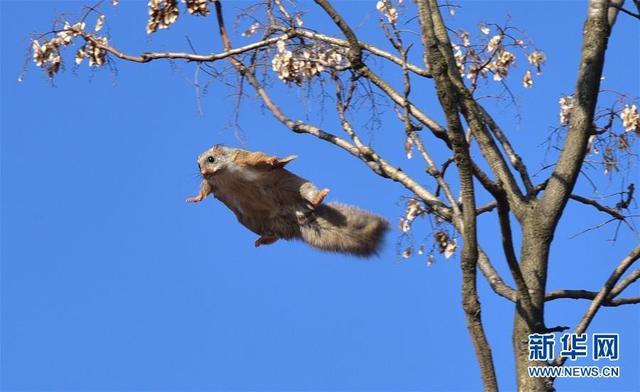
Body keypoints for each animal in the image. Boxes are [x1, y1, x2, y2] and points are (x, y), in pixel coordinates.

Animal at [186, 144, 390, 258]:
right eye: (198, 165)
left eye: (211, 159)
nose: (203, 172)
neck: (224, 174)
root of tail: (296, 218)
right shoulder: (211, 184)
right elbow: (204, 190)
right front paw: (194, 198)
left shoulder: (244, 158)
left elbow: (260, 158)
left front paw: (276, 160)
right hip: (250, 221)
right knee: (273, 235)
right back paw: (264, 239)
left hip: (295, 186)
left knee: (308, 194)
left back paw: (318, 196)